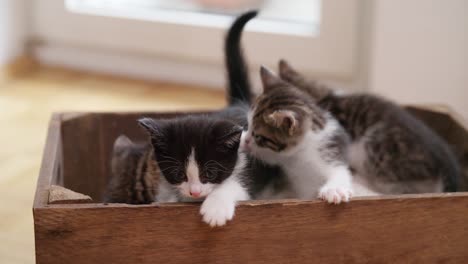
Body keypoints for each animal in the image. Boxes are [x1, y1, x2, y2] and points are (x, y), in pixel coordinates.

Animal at [239, 67, 352, 203]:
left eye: (258, 136)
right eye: (248, 125)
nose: (247, 140)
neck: (302, 151)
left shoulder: (331, 151)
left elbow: (340, 171)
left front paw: (334, 189)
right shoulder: (279, 157)